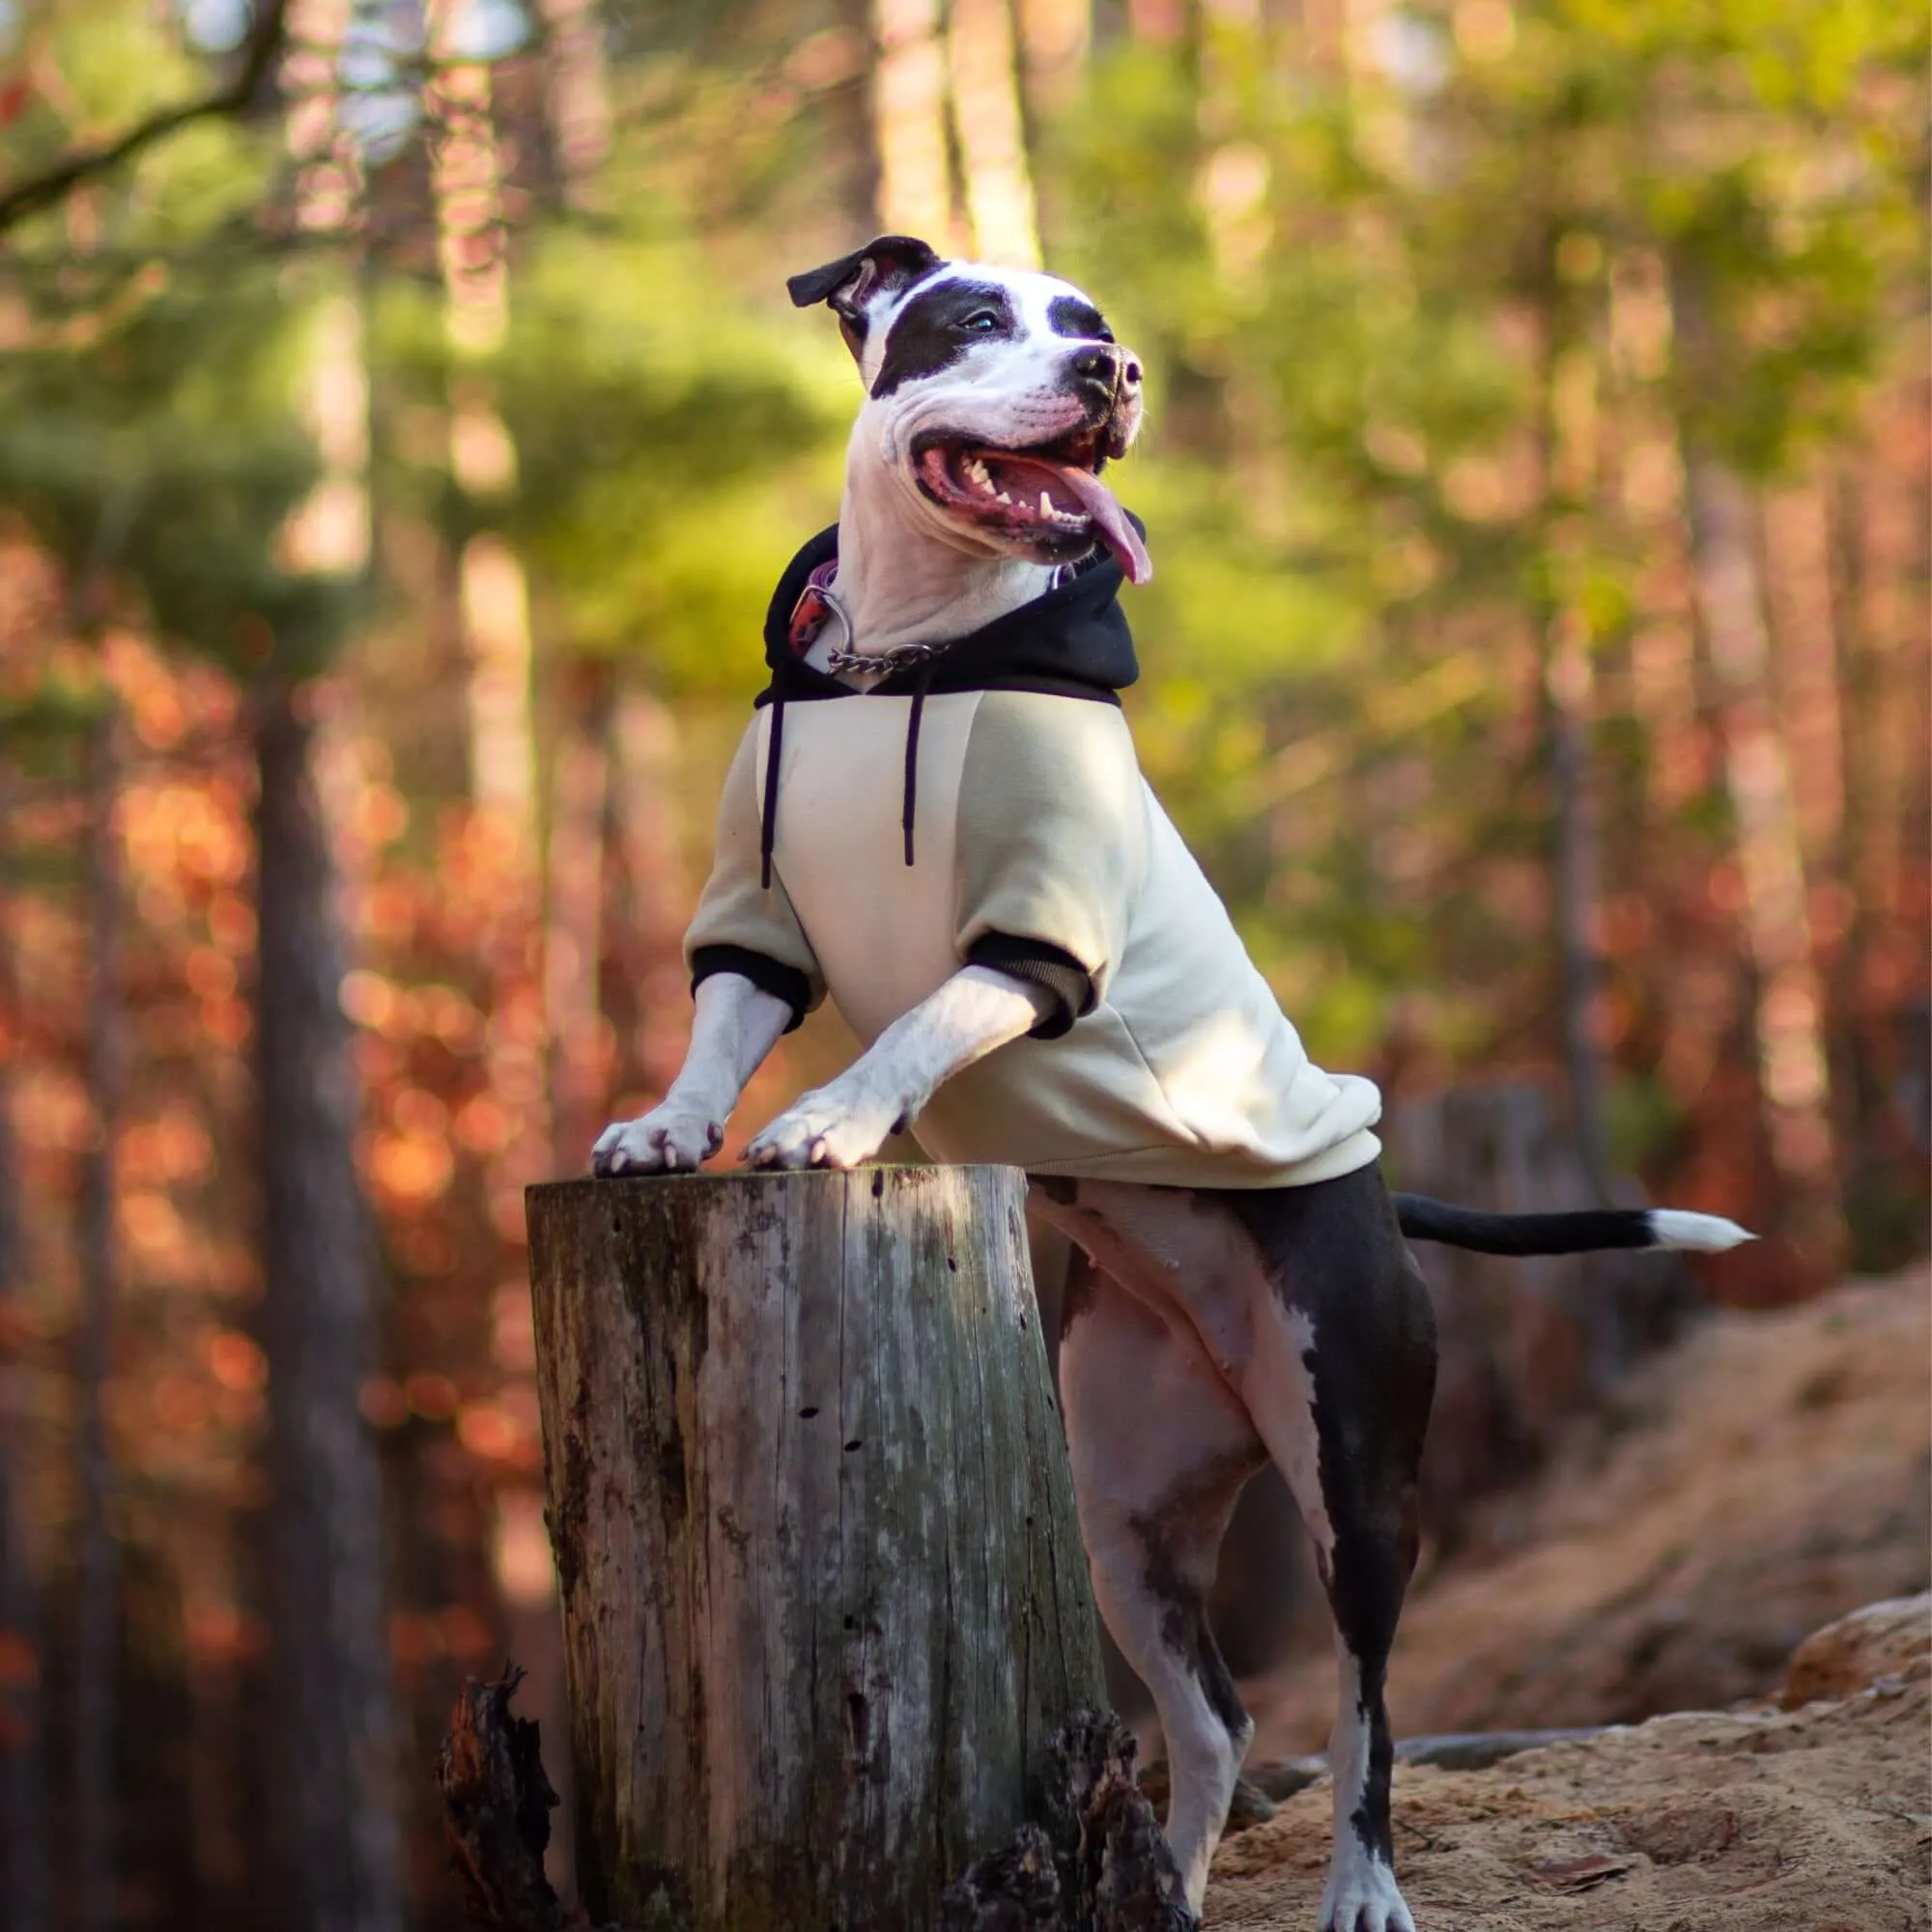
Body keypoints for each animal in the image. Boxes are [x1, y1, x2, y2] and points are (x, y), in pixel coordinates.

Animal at [591, 238, 1754, 1932]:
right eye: (973, 318)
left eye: (1092, 323)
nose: (1113, 372)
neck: (904, 665)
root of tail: (1371, 1192)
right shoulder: (759, 918)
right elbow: (723, 1032)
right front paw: (669, 1127)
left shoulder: (1041, 935)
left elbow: (918, 1023)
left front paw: (831, 1120)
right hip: (1122, 1508)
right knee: (1214, 1719)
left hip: (1358, 1478)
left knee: (1364, 1711)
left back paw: (1363, 1887)